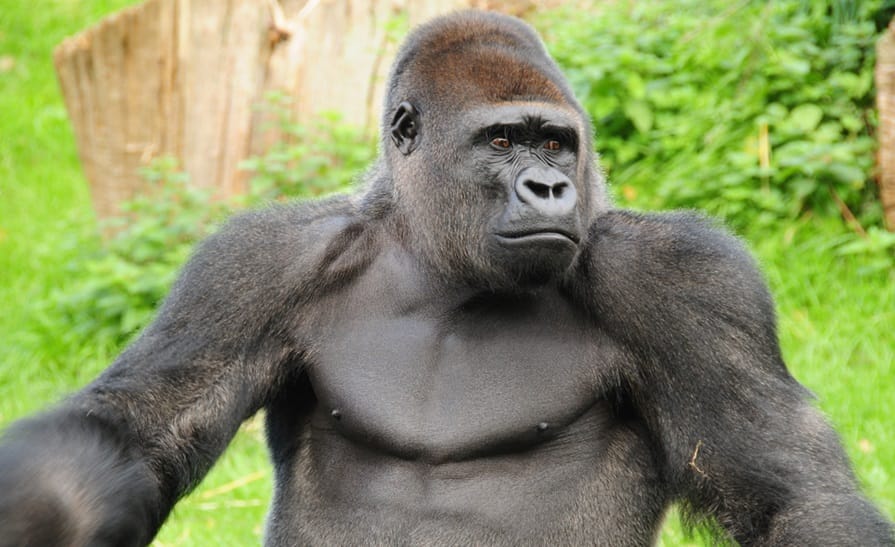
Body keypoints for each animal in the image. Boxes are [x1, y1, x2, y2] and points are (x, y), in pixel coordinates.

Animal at [0, 10, 892, 546]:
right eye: (501, 142)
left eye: (556, 144)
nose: (550, 187)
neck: (439, 263)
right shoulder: (252, 266)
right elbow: (143, 432)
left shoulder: (688, 281)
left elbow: (788, 493)